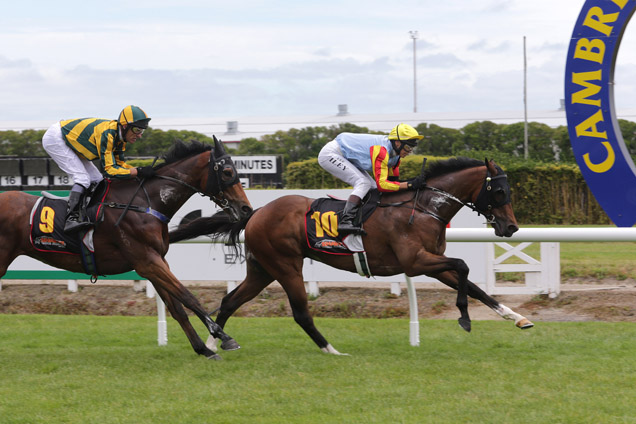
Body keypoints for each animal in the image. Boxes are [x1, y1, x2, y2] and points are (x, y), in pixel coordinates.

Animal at [0, 137, 253, 360]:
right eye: (228, 172)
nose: (246, 209)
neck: (145, 203)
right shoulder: (147, 261)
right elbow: (188, 296)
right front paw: (223, 337)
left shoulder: (156, 261)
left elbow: (176, 307)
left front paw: (203, 349)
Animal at [169, 158, 532, 354]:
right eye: (499, 191)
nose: (511, 227)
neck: (424, 207)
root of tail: (256, 212)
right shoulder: (416, 262)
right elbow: (464, 266)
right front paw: (465, 318)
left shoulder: (431, 263)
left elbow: (474, 285)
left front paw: (517, 318)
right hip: (286, 266)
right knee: (300, 313)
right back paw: (331, 349)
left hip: (262, 269)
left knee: (230, 301)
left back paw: (214, 343)